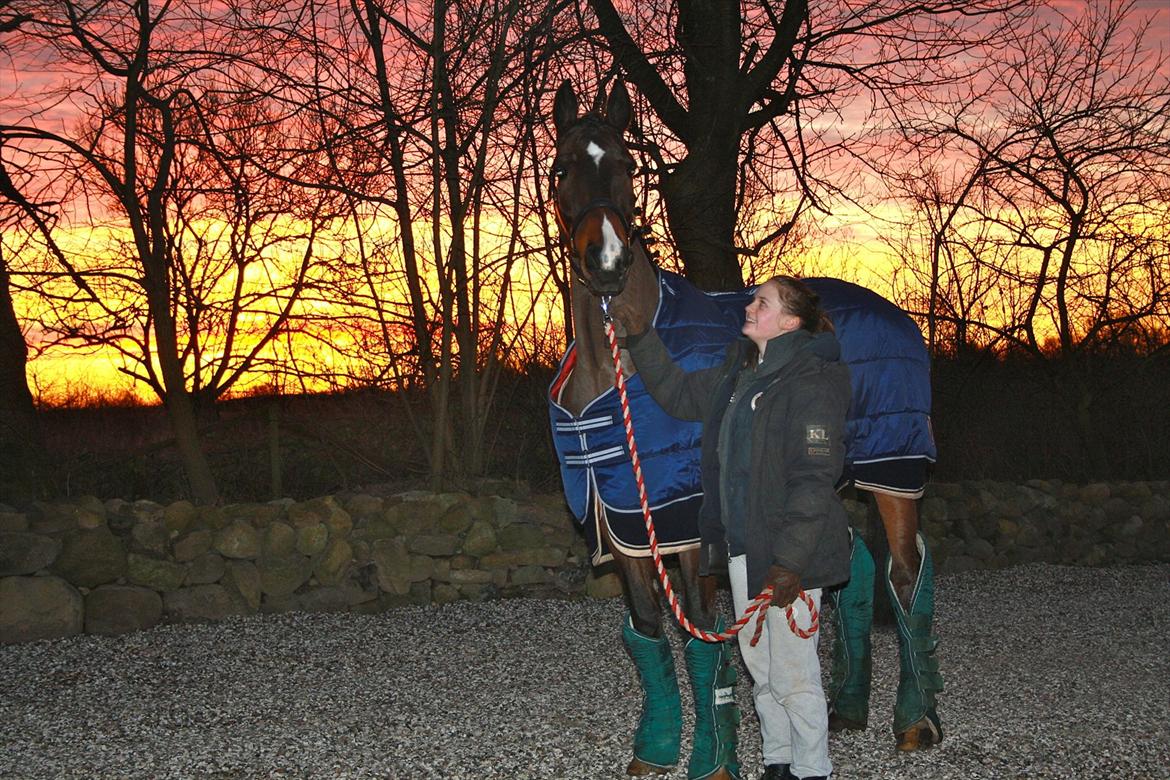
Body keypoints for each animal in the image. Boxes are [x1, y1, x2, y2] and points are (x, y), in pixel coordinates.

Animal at [545, 77, 940, 776]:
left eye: (628, 166)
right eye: (562, 168)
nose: (608, 262)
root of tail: (898, 315)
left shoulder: (683, 528)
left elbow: (701, 635)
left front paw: (713, 757)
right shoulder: (627, 531)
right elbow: (649, 632)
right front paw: (656, 747)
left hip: (894, 476)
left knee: (903, 574)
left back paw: (915, 720)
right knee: (854, 574)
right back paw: (846, 708)